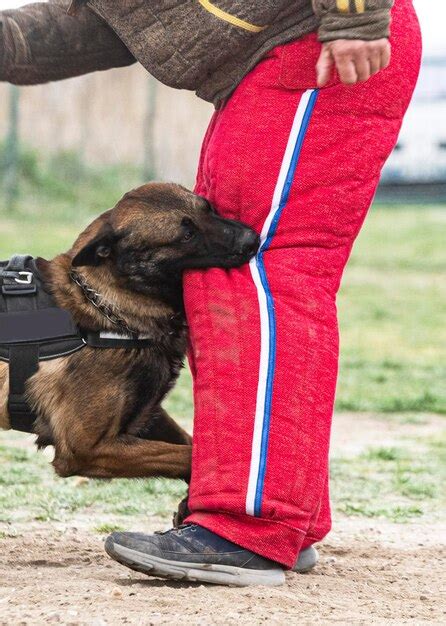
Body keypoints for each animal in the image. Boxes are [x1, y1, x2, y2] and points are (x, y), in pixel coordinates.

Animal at [0, 183, 260, 480]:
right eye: (187, 235)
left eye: (209, 209)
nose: (252, 239)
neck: (103, 306)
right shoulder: (88, 448)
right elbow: (186, 456)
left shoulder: (145, 415)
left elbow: (188, 444)